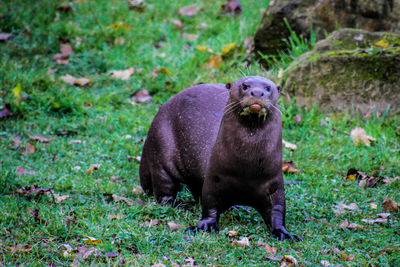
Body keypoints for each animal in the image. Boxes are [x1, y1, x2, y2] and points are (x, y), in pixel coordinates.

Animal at [140, 77, 300, 241]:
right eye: (245, 86)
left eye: (268, 88)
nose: (257, 92)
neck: (247, 169)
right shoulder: (214, 178)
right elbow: (209, 204)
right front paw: (205, 226)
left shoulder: (274, 183)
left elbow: (277, 210)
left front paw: (283, 232)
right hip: (161, 149)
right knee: (163, 190)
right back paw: (180, 204)